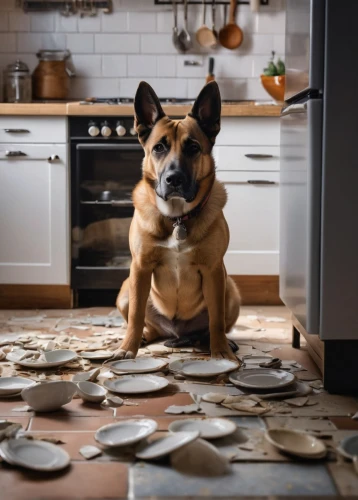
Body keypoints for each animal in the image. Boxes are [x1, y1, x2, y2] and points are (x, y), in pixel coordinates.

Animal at [114, 79, 241, 360]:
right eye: (159, 148)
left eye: (193, 147)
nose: (174, 179)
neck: (177, 218)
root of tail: (177, 333)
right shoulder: (140, 269)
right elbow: (136, 316)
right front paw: (128, 348)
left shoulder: (214, 270)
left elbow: (216, 320)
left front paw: (221, 352)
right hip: (126, 290)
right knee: (146, 324)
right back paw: (145, 337)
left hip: (231, 290)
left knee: (214, 324)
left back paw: (215, 342)